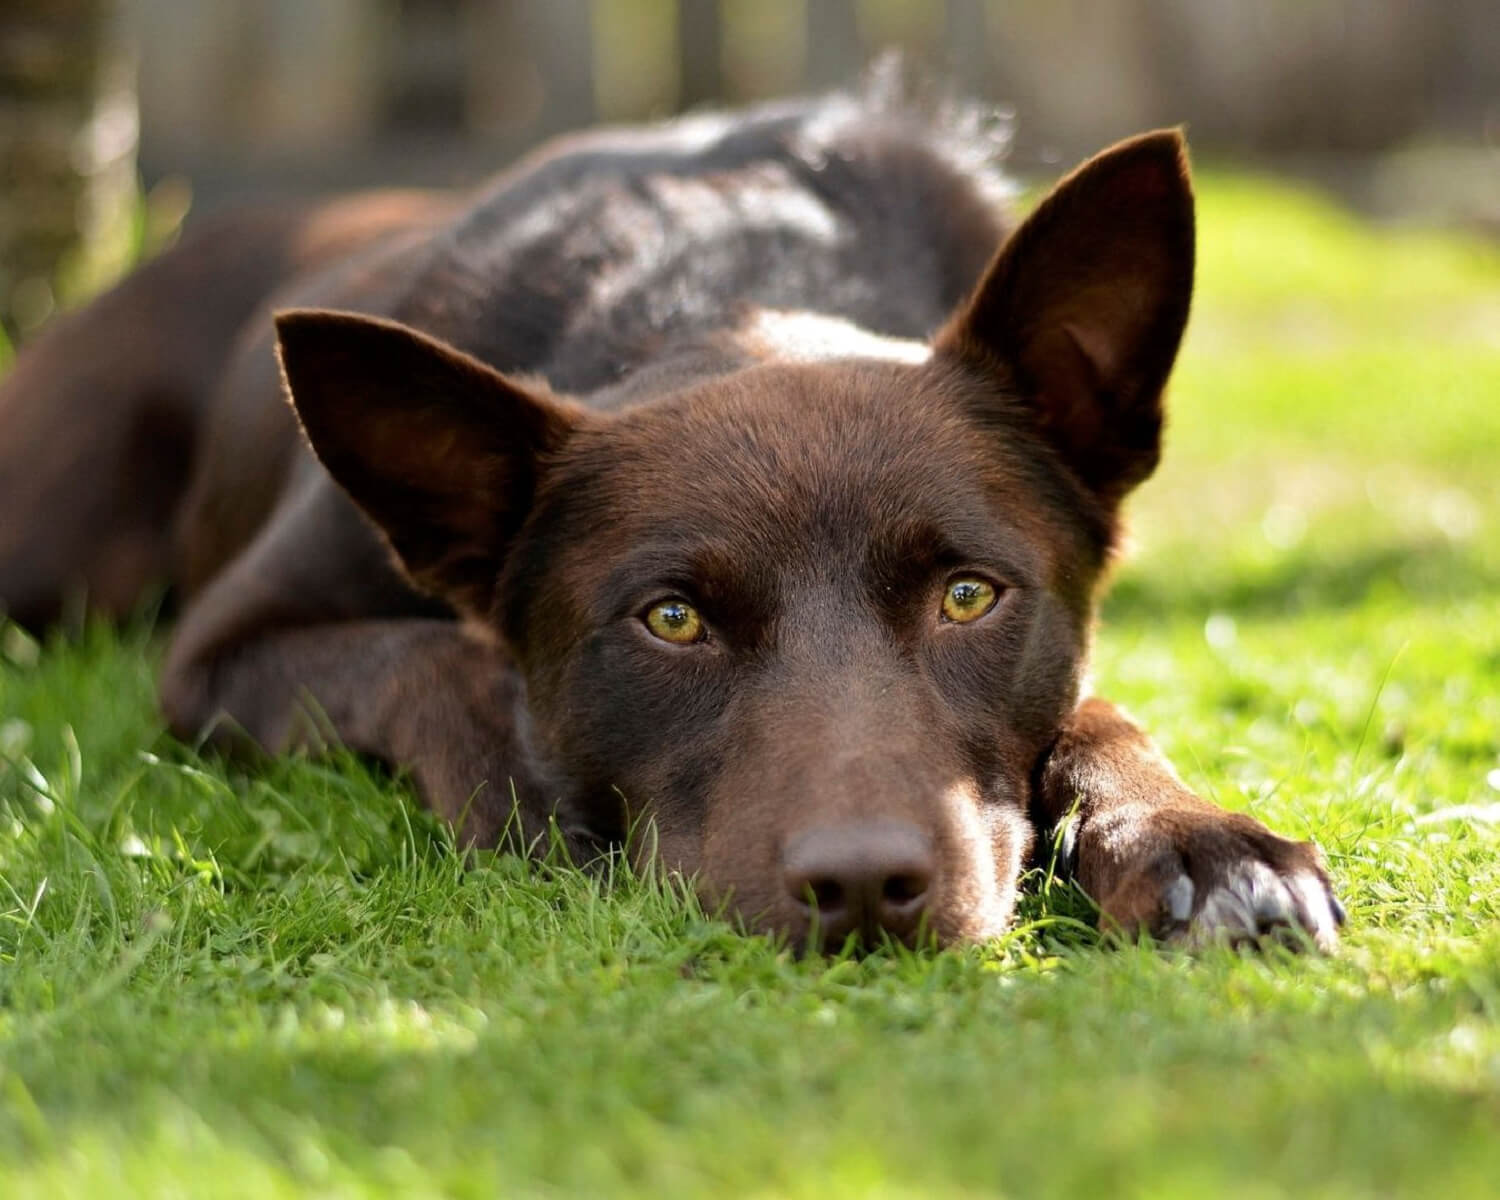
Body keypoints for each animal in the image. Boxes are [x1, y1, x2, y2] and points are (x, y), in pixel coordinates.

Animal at [0, 93, 1338, 954]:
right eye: (673, 620)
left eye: (968, 596)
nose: (865, 888)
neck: (727, 280)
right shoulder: (218, 655)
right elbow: (426, 658)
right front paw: (523, 783)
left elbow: (1099, 714)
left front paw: (1199, 841)